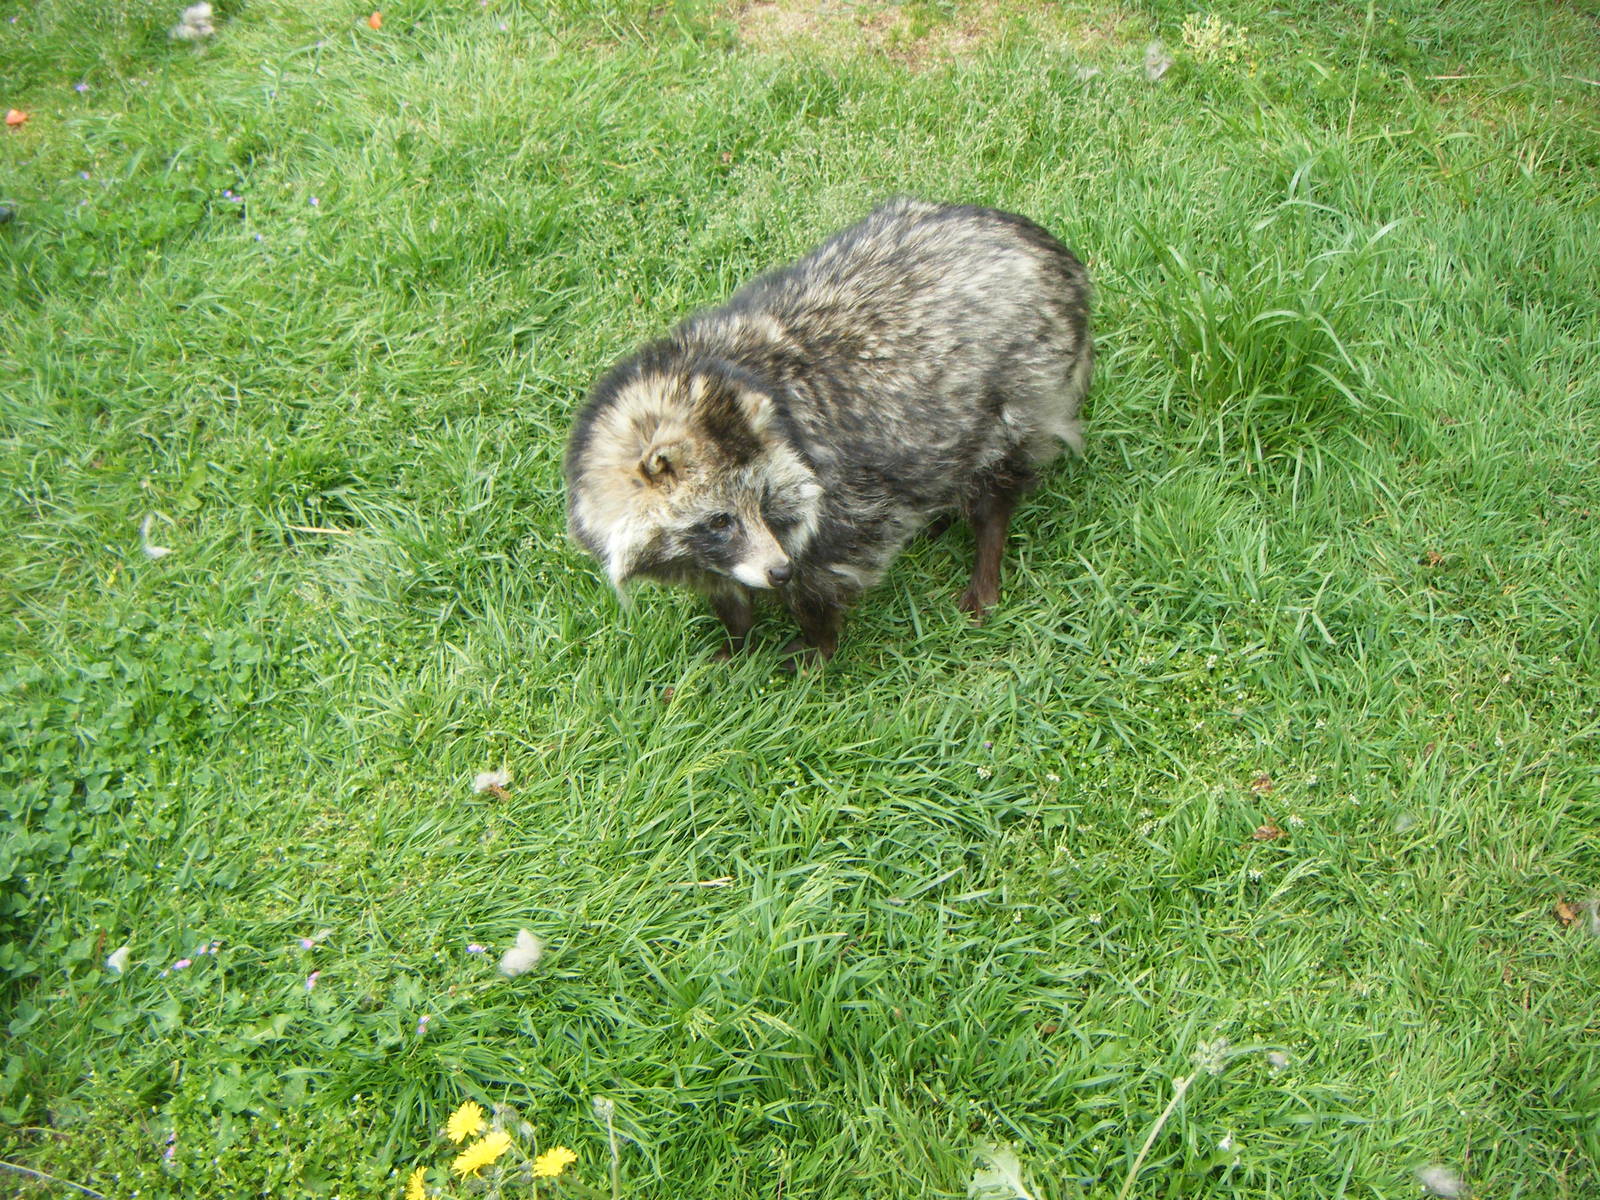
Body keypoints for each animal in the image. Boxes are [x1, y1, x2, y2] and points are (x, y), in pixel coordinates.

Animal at [564, 198, 1092, 664]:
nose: (779, 571)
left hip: (1021, 382)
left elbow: (825, 575)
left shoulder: (841, 500)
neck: (711, 373)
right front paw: (735, 639)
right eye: (719, 521)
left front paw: (816, 640)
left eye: (762, 501)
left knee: (995, 478)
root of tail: (1048, 249)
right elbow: (727, 593)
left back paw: (985, 556)